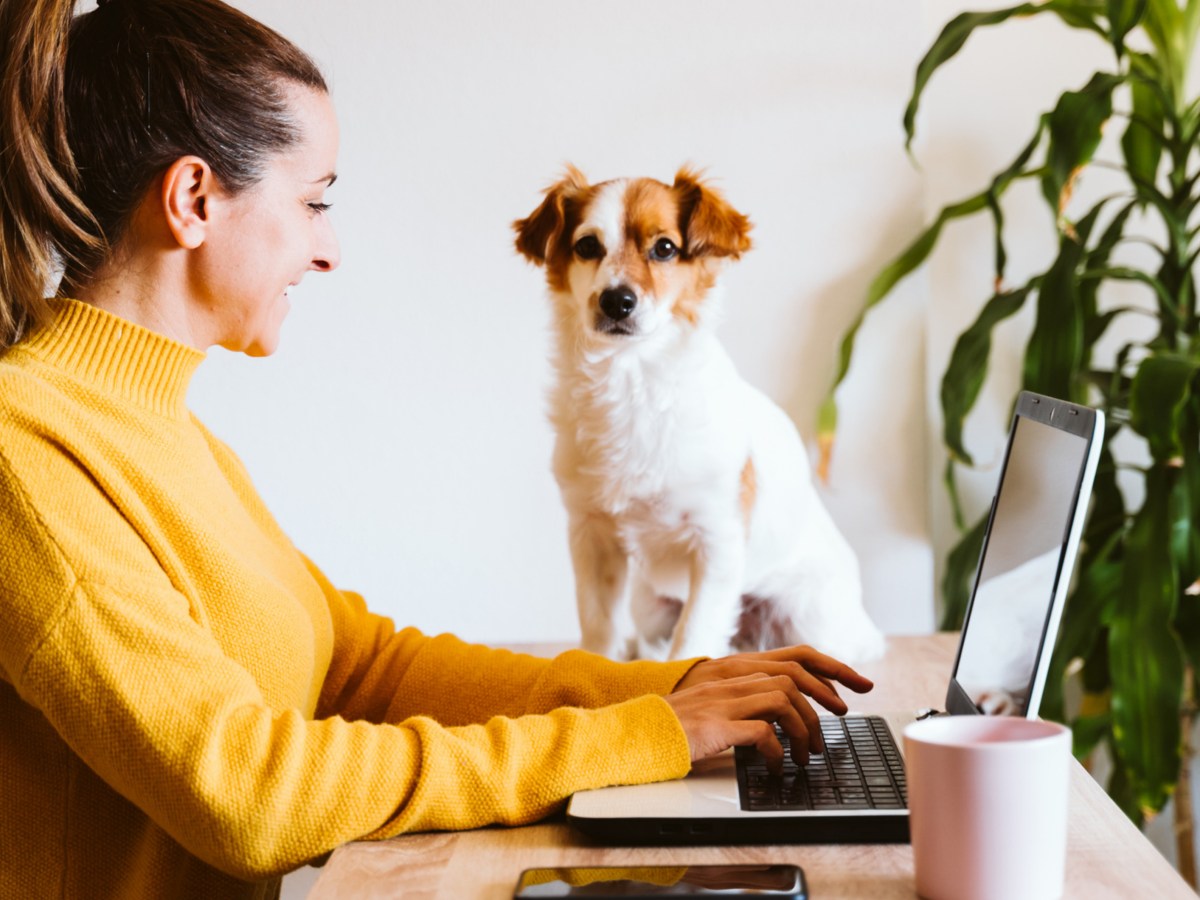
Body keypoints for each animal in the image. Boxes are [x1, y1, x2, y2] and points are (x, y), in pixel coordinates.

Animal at [511, 168, 888, 662]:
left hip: (810, 617)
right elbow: (598, 626)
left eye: (665, 248)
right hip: (650, 603)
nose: (617, 301)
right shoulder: (590, 535)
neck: (632, 380)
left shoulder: (716, 540)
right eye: (588, 246)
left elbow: (693, 638)